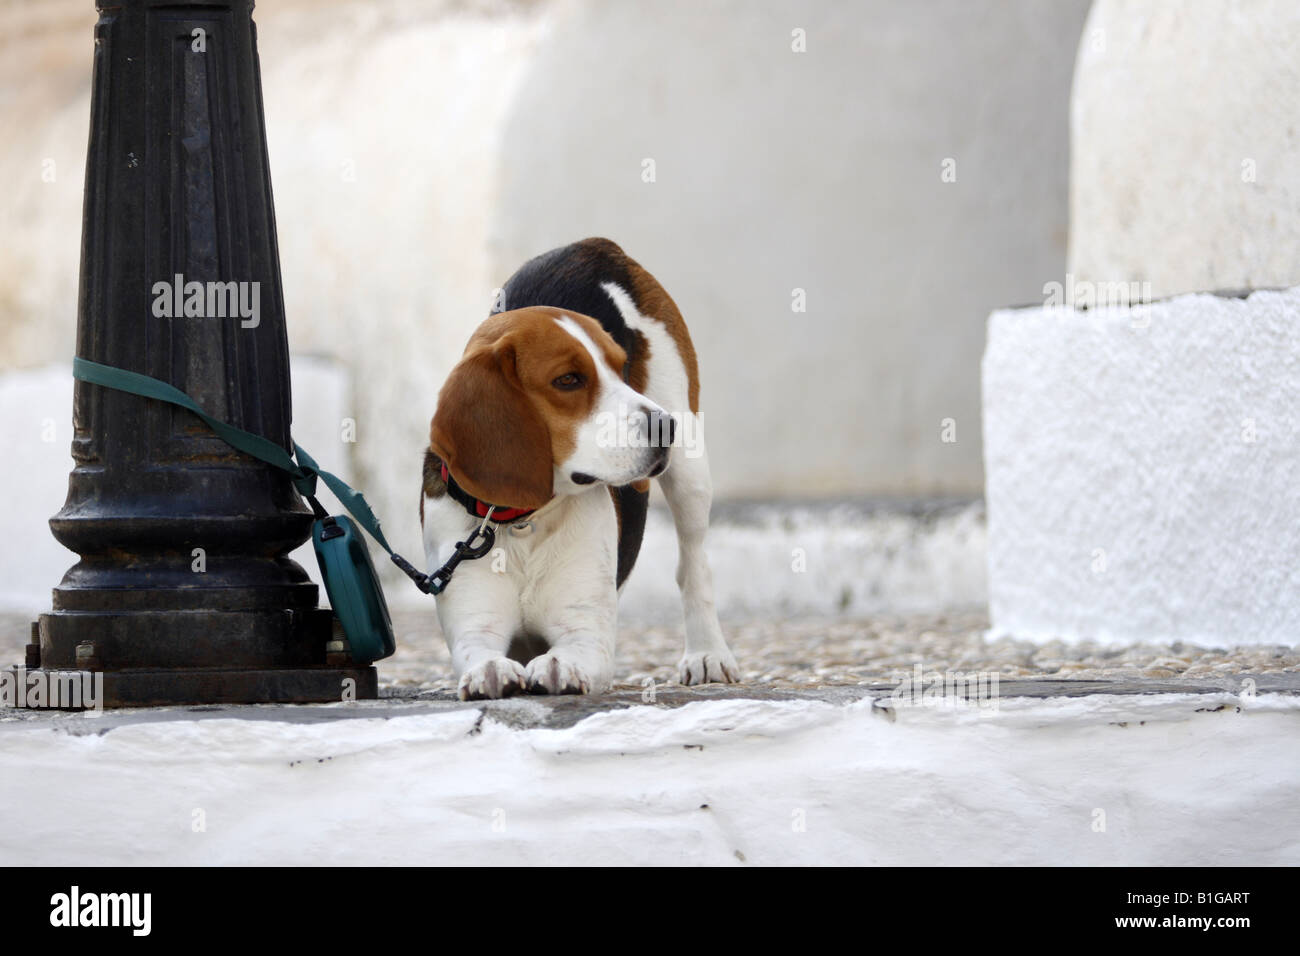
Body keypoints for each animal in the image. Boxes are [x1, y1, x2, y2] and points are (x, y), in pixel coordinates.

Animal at [421, 238, 738, 702]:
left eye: (621, 369)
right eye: (568, 380)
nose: (666, 427)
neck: (524, 522)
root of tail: (591, 247)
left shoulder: (585, 631)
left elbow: (571, 650)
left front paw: (557, 666)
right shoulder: (474, 623)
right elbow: (479, 653)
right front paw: (491, 671)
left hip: (690, 472)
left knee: (694, 564)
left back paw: (707, 653)